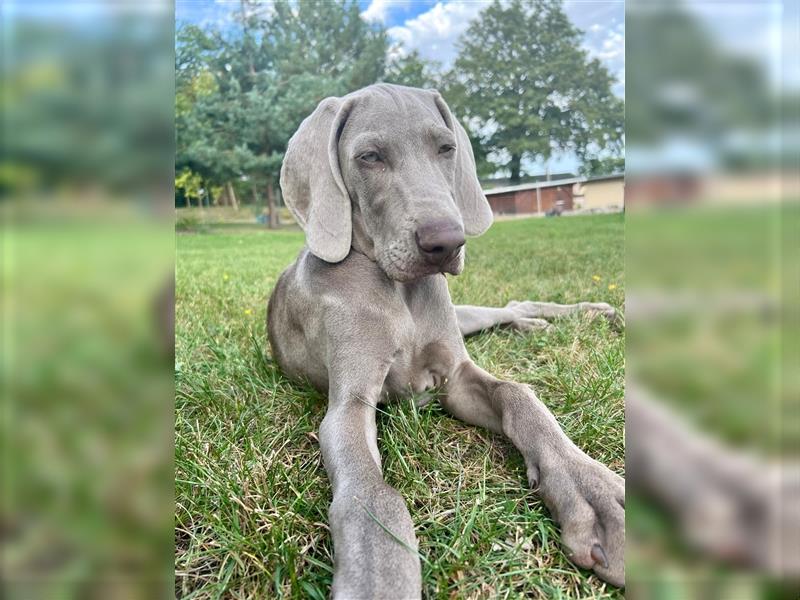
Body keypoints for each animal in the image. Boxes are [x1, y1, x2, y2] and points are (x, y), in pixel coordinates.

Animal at [268, 83, 624, 596]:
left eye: (446, 148)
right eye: (369, 157)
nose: (447, 242)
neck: (396, 290)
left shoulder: (456, 378)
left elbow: (518, 395)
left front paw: (595, 494)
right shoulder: (348, 407)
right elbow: (372, 493)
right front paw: (380, 579)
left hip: (462, 314)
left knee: (512, 305)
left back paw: (583, 314)